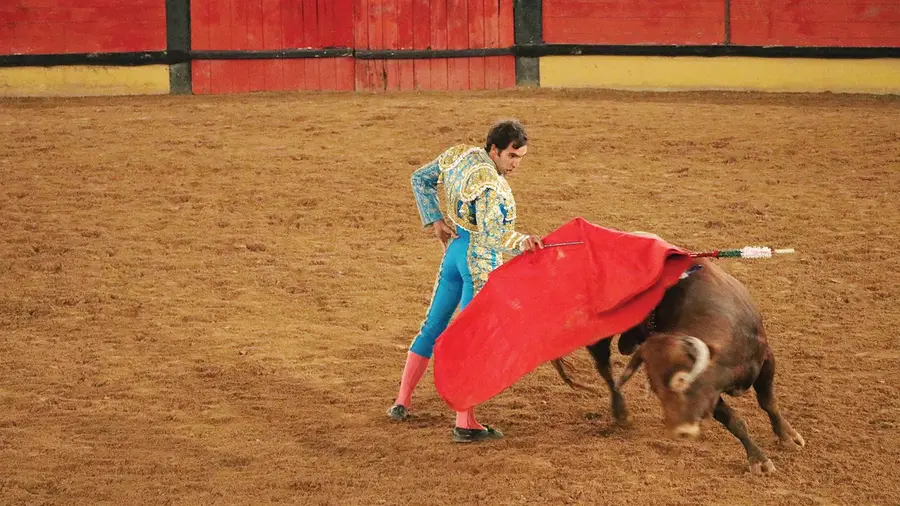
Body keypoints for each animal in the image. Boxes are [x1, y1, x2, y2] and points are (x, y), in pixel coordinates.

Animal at [552, 253, 804, 474]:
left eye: (682, 380)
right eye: (656, 388)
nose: (680, 431)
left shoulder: (765, 360)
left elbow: (768, 402)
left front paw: (787, 436)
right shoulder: (712, 391)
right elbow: (734, 420)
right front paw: (758, 459)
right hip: (598, 335)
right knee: (605, 369)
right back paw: (620, 411)